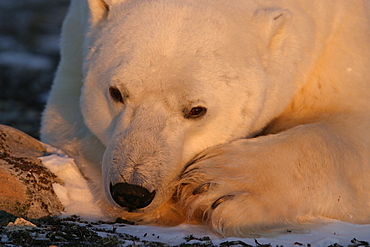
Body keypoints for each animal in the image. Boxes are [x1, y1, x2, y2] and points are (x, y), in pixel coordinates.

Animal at [42, 0, 368, 237]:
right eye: (116, 92)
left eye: (196, 110)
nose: (131, 191)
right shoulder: (76, 38)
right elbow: (67, 121)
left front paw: (220, 188)